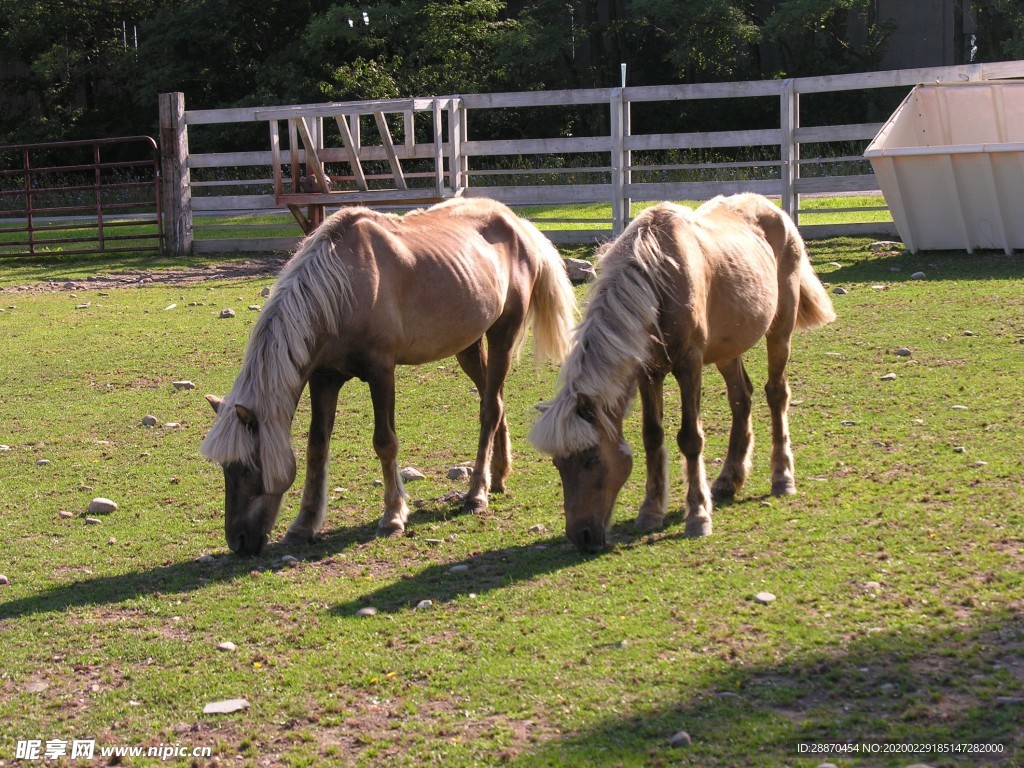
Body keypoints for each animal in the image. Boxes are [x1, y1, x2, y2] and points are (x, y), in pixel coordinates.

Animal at [199, 196, 577, 561]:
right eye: (225, 468)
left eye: (248, 467)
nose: (238, 541)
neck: (343, 284)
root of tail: (517, 223)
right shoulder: (324, 377)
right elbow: (316, 447)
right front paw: (303, 525)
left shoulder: (381, 372)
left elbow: (385, 442)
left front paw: (393, 516)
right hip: (468, 346)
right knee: (494, 401)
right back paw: (496, 478)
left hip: (503, 336)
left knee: (489, 410)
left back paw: (476, 495)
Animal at [532, 192, 835, 552]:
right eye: (559, 463)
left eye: (591, 458)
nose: (582, 536)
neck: (658, 280)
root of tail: (775, 211)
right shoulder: (648, 372)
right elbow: (652, 436)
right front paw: (651, 512)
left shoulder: (689, 365)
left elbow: (690, 438)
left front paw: (698, 516)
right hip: (727, 349)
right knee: (741, 399)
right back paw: (728, 480)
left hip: (780, 331)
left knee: (776, 394)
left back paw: (782, 478)